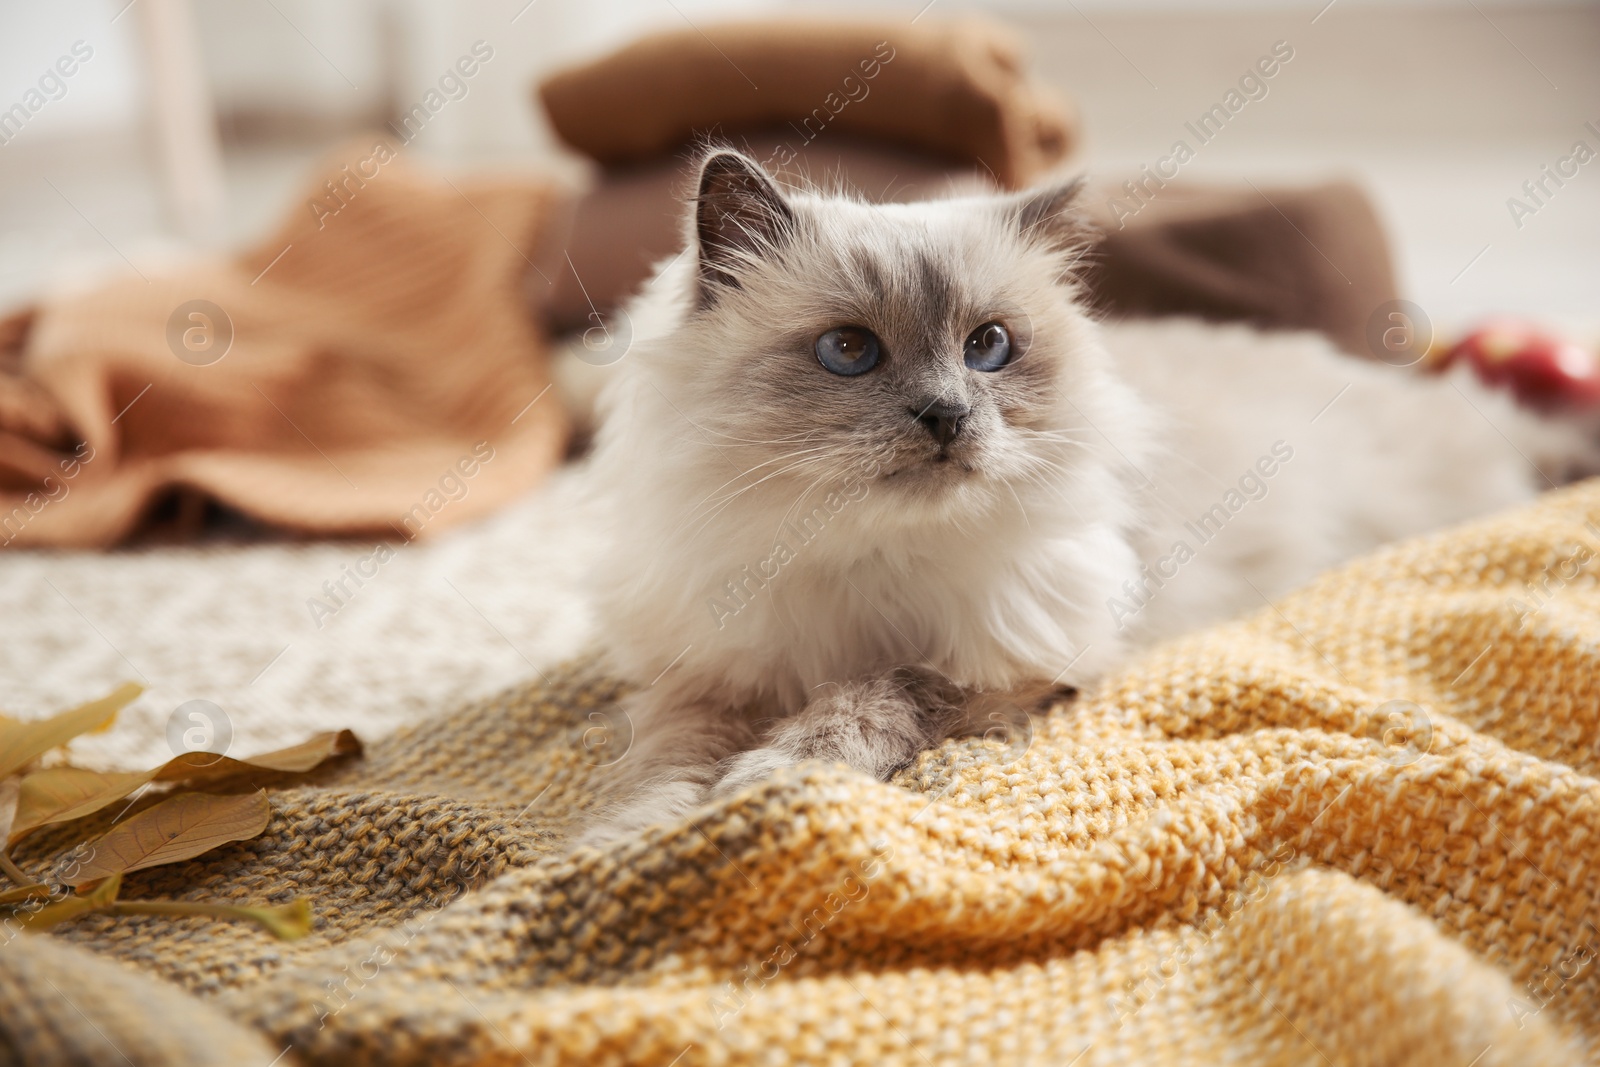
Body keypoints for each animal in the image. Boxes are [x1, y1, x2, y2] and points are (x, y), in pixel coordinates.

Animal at [576, 146, 1587, 844]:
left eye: (987, 346)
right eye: (849, 351)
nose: (947, 416)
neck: (864, 556)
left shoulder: (1018, 666)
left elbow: (874, 693)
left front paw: (773, 774)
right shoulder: (703, 675)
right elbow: (662, 765)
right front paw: (635, 842)